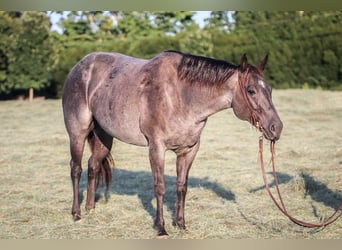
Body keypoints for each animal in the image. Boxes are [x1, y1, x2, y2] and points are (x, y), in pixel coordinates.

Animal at [62, 49, 284, 235]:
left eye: (270, 89)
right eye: (251, 90)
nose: (276, 127)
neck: (180, 96)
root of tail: (80, 66)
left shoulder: (189, 150)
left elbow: (181, 187)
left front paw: (181, 224)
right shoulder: (156, 148)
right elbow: (160, 187)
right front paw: (161, 227)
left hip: (104, 137)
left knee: (93, 165)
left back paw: (90, 208)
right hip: (77, 133)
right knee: (76, 169)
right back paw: (76, 213)